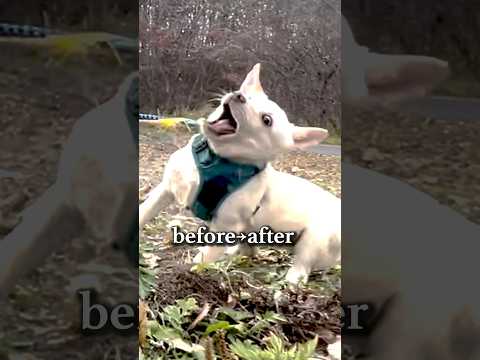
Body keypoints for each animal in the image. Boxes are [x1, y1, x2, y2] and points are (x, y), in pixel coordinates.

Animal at [139, 64, 342, 284]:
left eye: (267, 120)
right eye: (246, 94)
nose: (239, 96)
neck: (216, 157)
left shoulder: (225, 225)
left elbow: (205, 256)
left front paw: (192, 272)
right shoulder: (164, 190)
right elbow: (144, 212)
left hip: (313, 241)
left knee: (302, 265)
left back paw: (291, 281)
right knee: (248, 250)